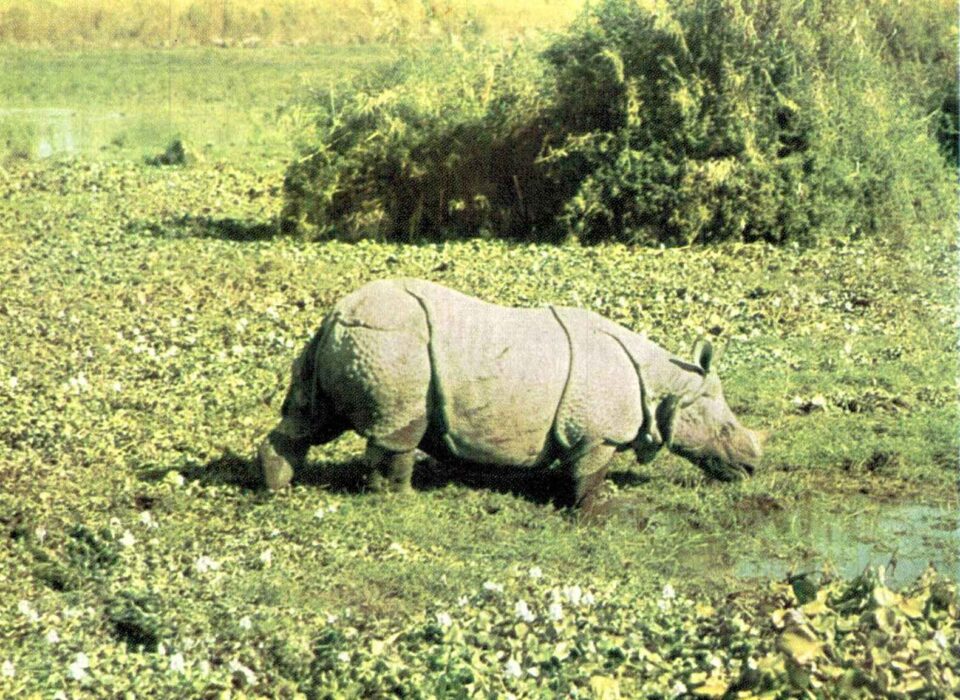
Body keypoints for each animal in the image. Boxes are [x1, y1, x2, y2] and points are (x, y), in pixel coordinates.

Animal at [258, 278, 762, 507]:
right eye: (725, 429)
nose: (751, 469)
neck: (667, 385)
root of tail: (335, 315)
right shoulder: (597, 433)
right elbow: (589, 475)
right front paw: (601, 509)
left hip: (352, 342)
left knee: (313, 419)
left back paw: (274, 486)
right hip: (393, 342)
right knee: (396, 428)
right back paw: (402, 499)